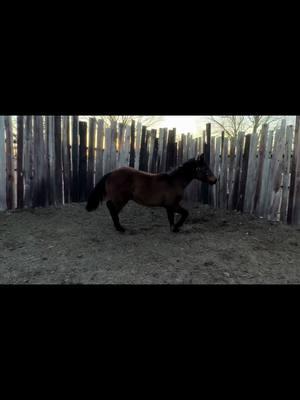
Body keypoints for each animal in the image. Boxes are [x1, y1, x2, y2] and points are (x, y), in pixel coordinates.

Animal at [85, 154, 217, 233]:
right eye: (205, 168)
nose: (215, 180)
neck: (174, 181)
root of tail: (111, 173)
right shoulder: (172, 204)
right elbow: (185, 213)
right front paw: (176, 227)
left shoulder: (169, 206)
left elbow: (171, 217)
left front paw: (174, 228)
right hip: (121, 199)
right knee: (112, 209)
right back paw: (120, 228)